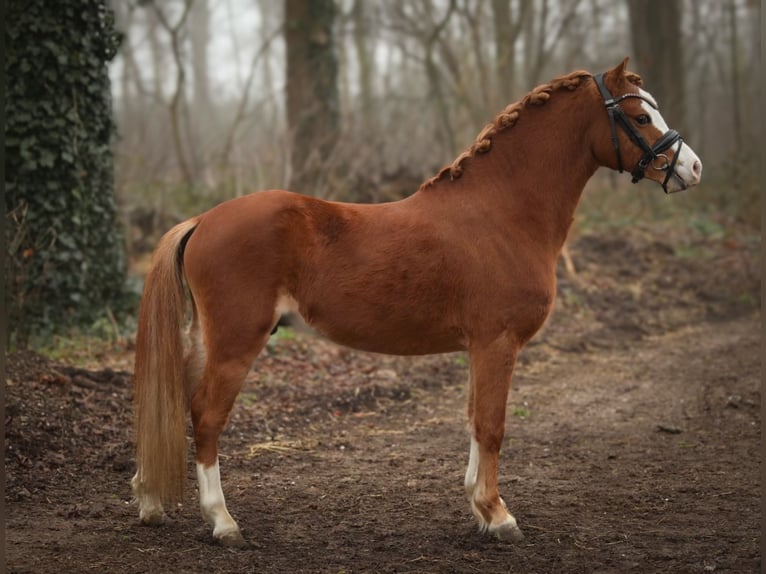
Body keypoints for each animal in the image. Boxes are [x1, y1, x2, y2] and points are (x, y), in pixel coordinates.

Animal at [130, 59, 704, 548]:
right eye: (639, 115)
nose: (692, 168)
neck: (502, 211)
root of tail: (203, 220)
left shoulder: (480, 347)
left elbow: (474, 420)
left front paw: (479, 510)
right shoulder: (497, 343)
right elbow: (492, 426)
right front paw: (499, 516)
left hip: (205, 340)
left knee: (172, 404)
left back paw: (150, 502)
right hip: (236, 342)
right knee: (205, 416)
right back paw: (223, 523)